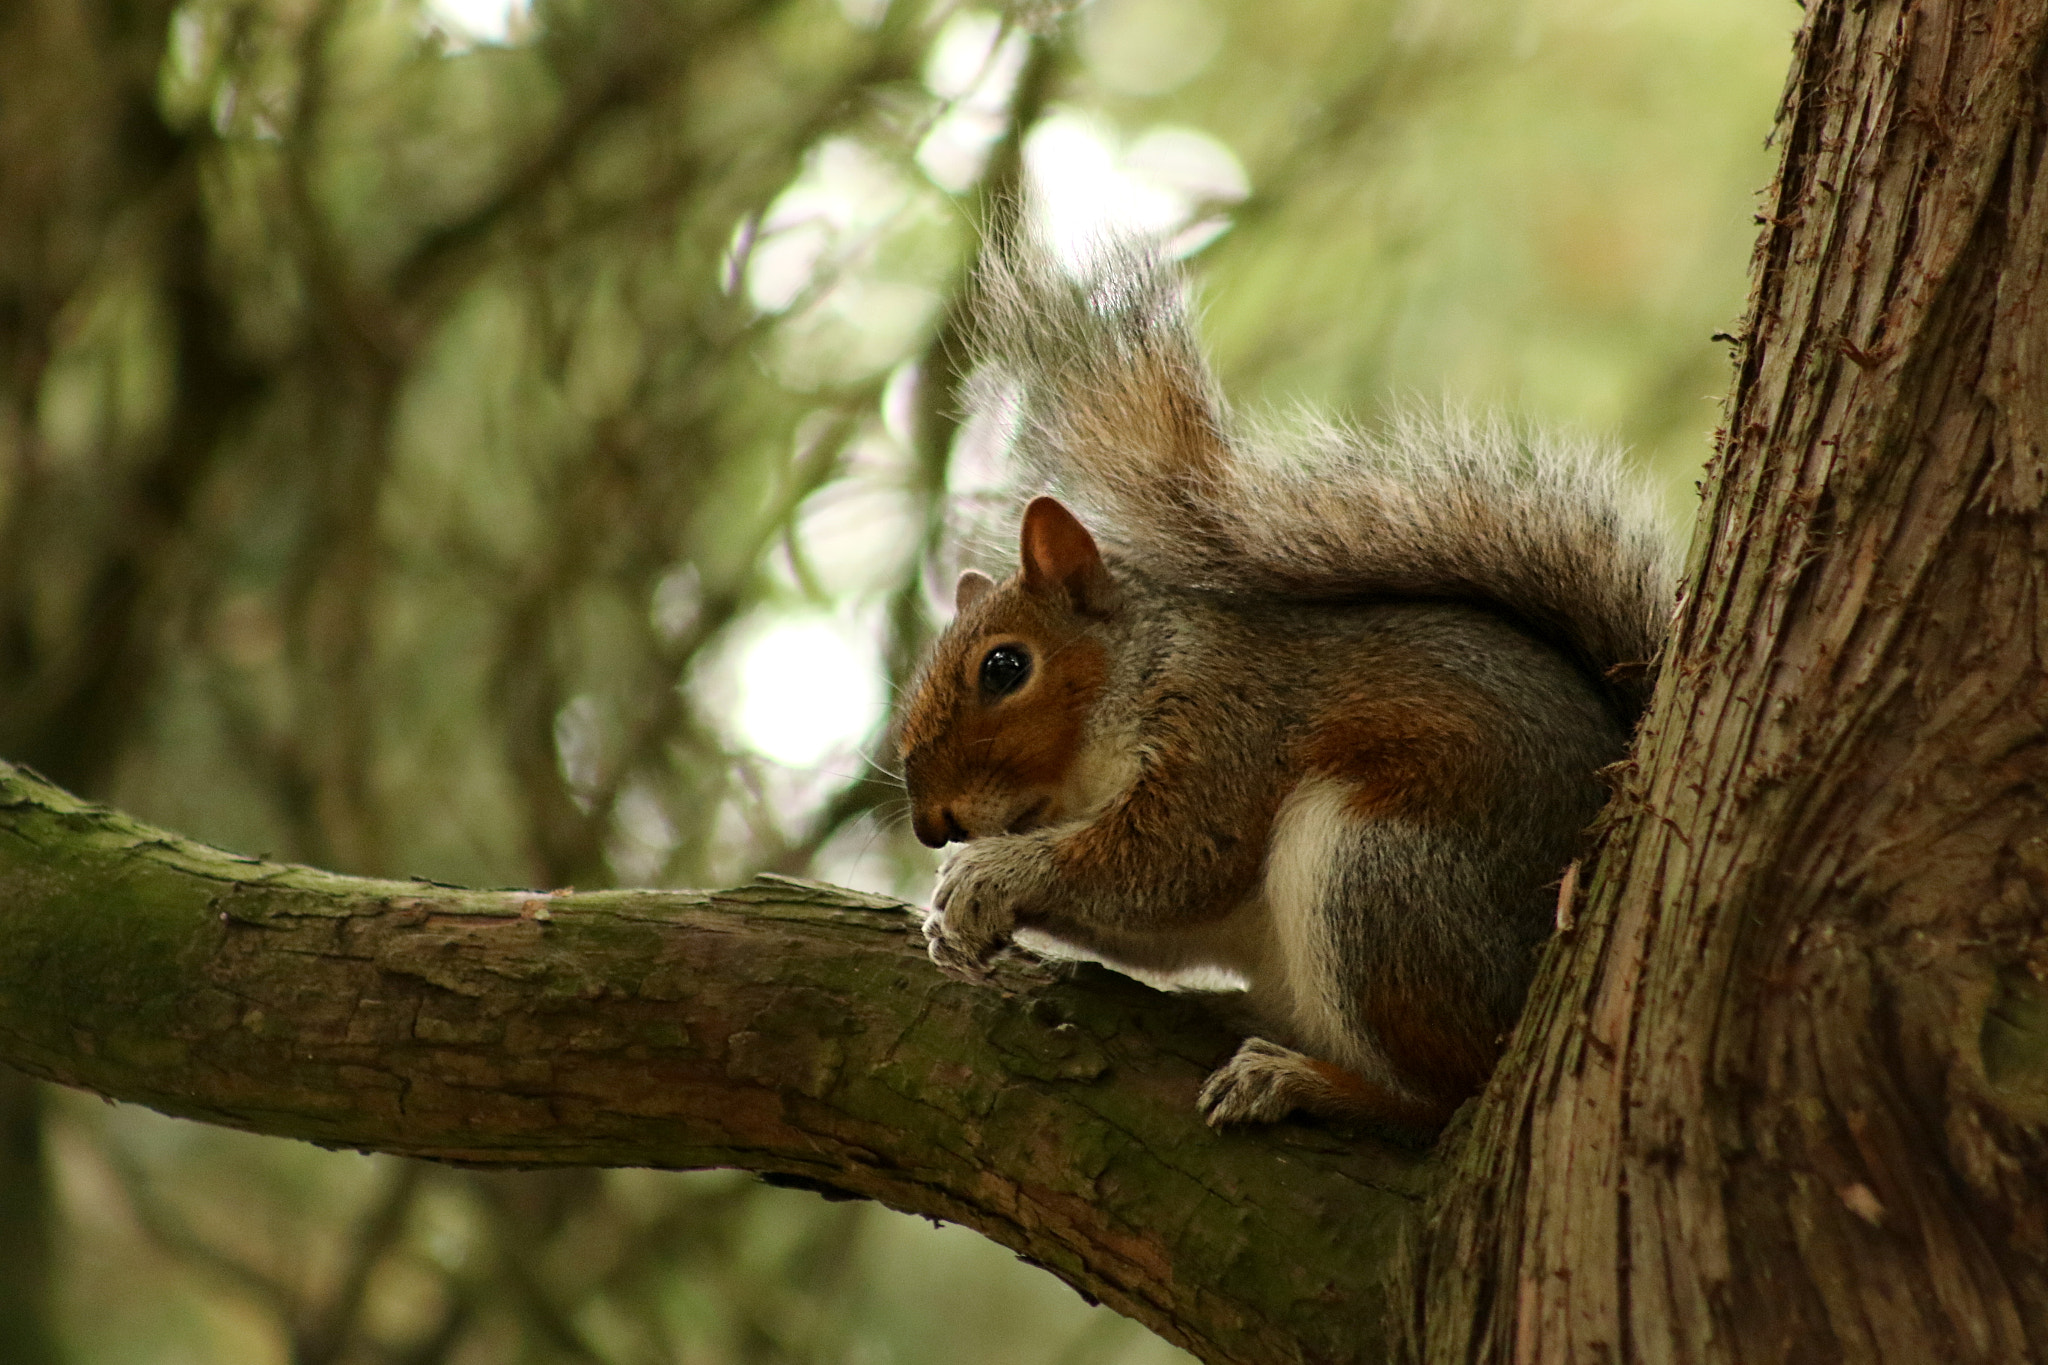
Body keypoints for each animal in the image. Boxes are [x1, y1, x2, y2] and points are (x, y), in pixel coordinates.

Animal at [896, 242, 1674, 1131]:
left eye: (1004, 667)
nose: (931, 824)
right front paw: (949, 916)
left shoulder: (1228, 727)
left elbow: (1168, 859)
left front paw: (993, 873)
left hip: (1379, 874)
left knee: (1445, 1093)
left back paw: (1300, 1080)